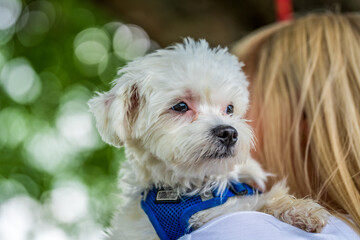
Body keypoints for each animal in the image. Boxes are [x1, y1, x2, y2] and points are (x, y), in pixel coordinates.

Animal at [88, 38, 330, 239]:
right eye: (180, 106)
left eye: (229, 109)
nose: (229, 133)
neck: (184, 188)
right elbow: (242, 204)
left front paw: (300, 209)